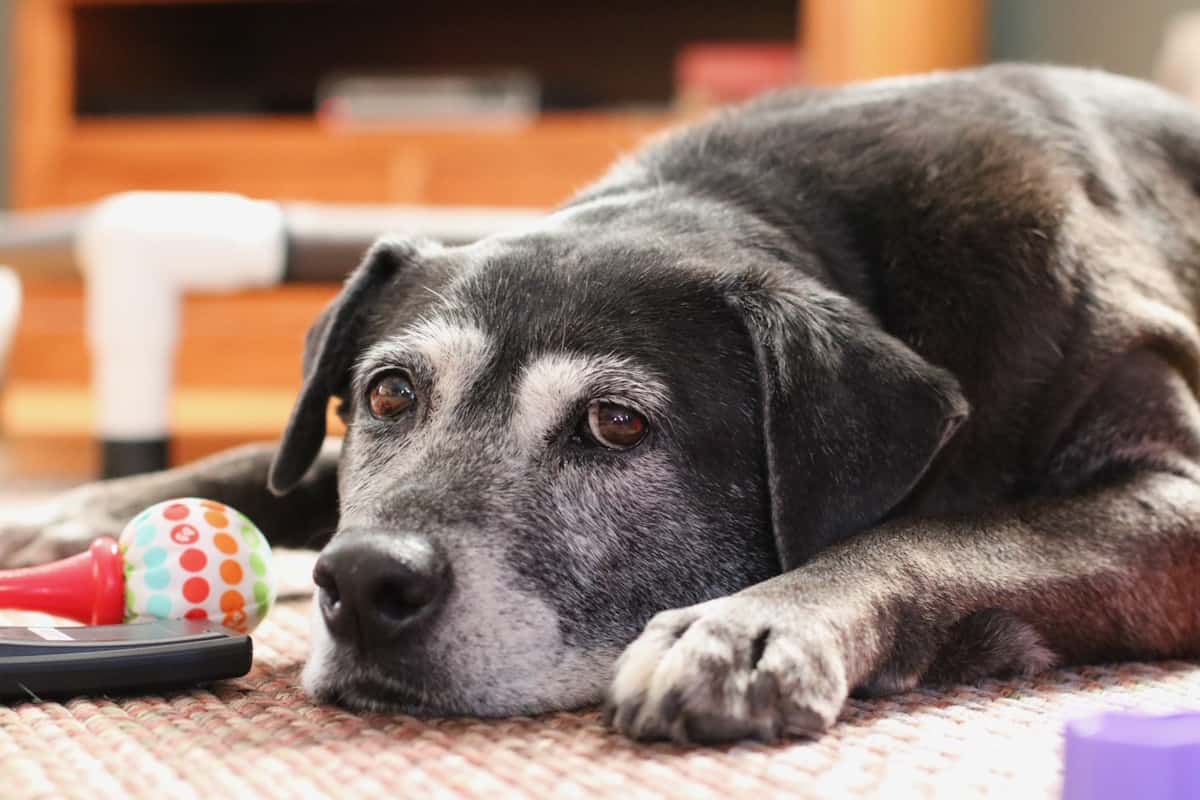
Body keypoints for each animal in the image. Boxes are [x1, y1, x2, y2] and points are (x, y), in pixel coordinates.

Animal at [7, 64, 1200, 743]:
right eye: (389, 393)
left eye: (616, 425)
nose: (364, 583)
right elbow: (277, 463)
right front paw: (60, 521)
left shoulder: (1172, 496)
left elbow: (944, 532)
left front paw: (753, 622)